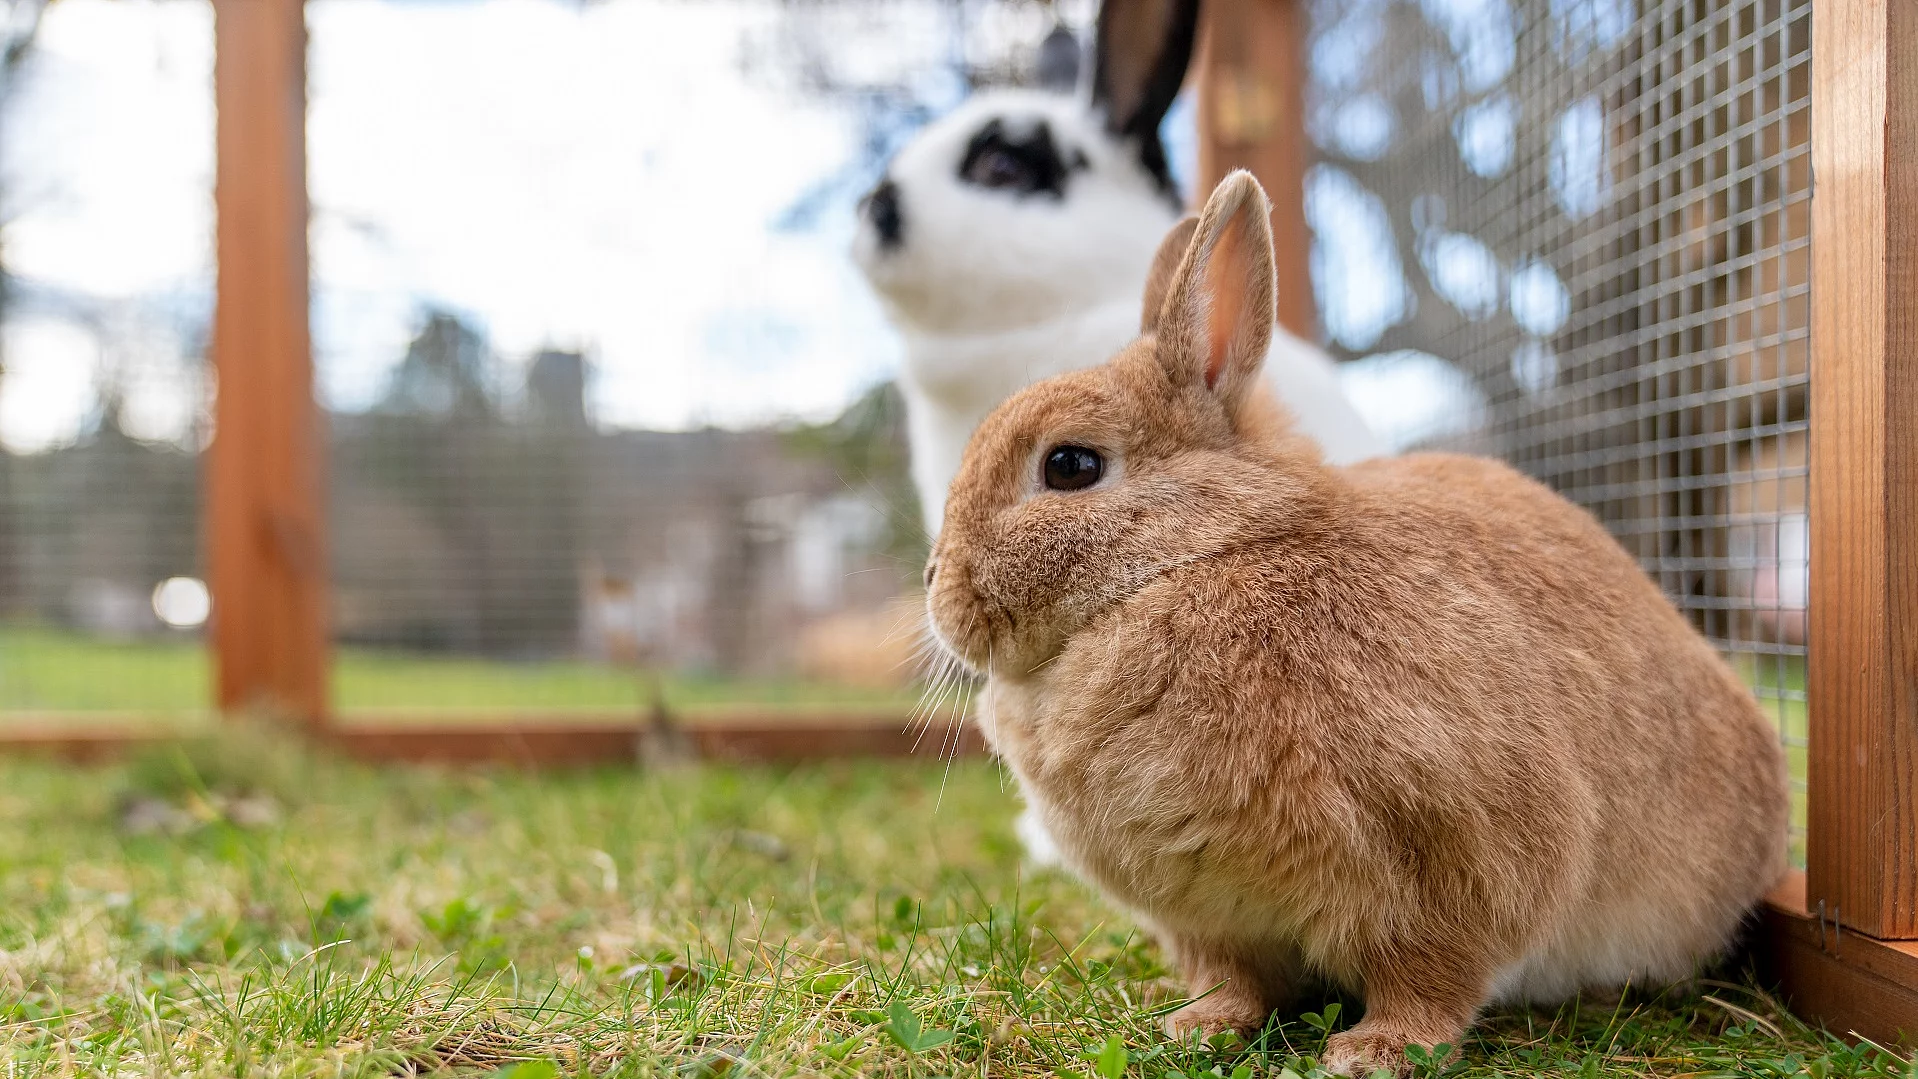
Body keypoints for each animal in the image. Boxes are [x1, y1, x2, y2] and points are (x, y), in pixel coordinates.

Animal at [922, 171, 1790, 1076]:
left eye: (1070, 465)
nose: (935, 585)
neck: (1199, 556)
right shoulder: (1207, 919)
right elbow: (1234, 977)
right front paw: (1200, 1026)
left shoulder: (1449, 859)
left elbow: (1431, 973)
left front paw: (1376, 1049)